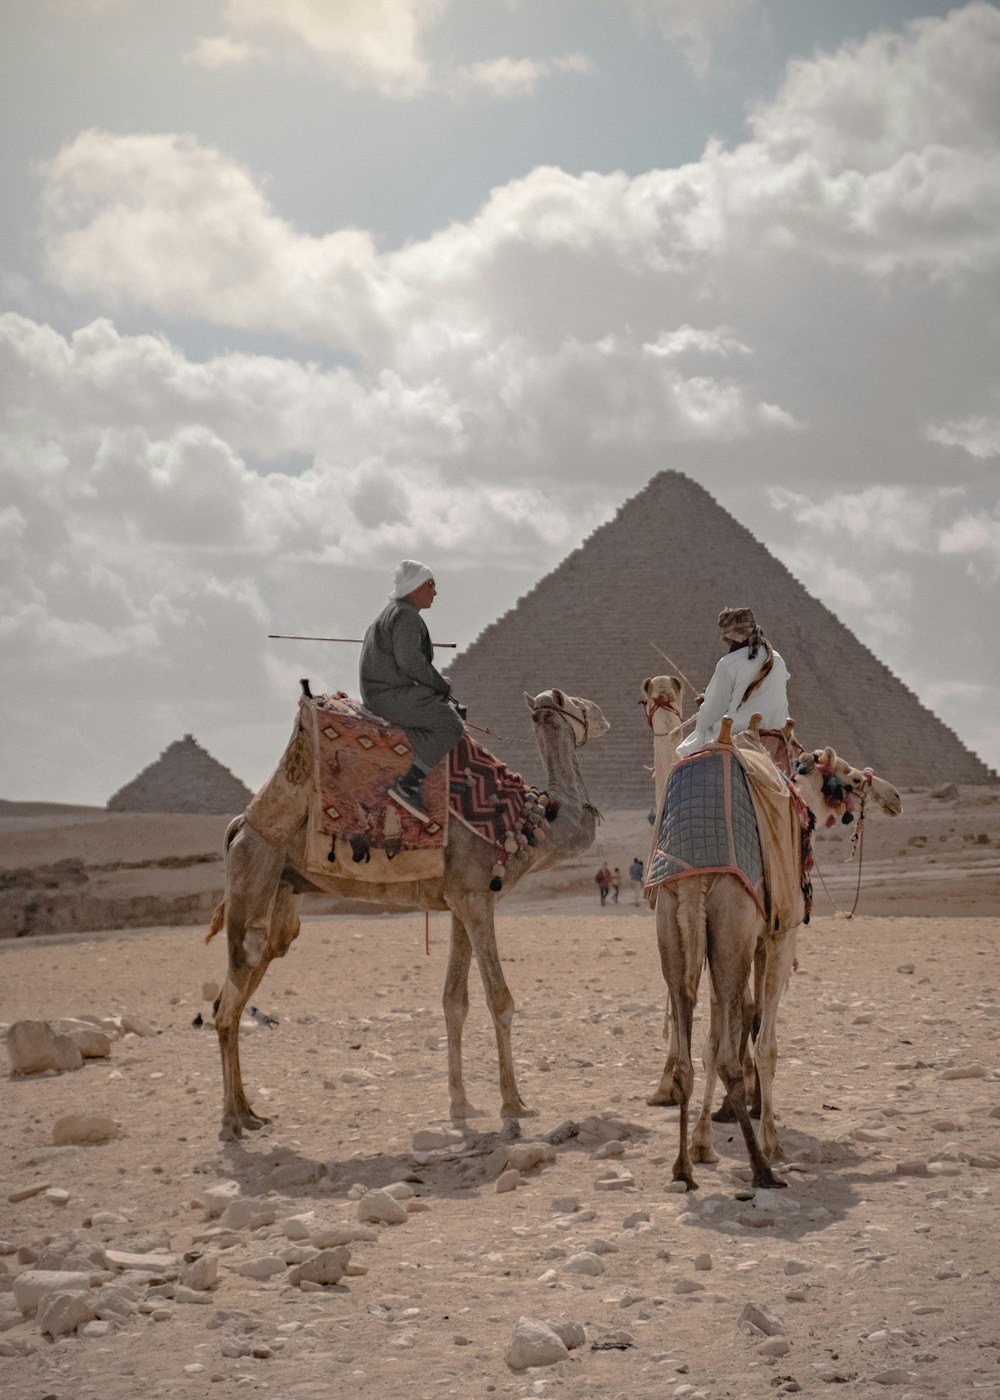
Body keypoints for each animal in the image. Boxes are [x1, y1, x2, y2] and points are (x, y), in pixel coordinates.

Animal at [205, 686, 605, 1136]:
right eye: (578, 704)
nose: (604, 716)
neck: (529, 824)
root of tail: (239, 825)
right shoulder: (476, 898)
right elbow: (499, 999)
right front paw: (514, 1105)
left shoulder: (461, 900)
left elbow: (454, 1001)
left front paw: (462, 1104)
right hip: (253, 875)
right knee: (230, 998)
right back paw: (232, 1119)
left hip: (282, 890)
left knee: (240, 988)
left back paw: (250, 1112)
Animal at [658, 722, 901, 1192]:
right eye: (852, 778)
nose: (895, 796)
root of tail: (697, 878)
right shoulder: (777, 936)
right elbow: (765, 1044)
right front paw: (772, 1141)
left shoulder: (747, 943)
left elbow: (718, 1038)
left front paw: (703, 1143)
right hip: (730, 923)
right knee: (729, 1059)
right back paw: (762, 1169)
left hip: (677, 927)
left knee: (686, 1055)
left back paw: (682, 1168)